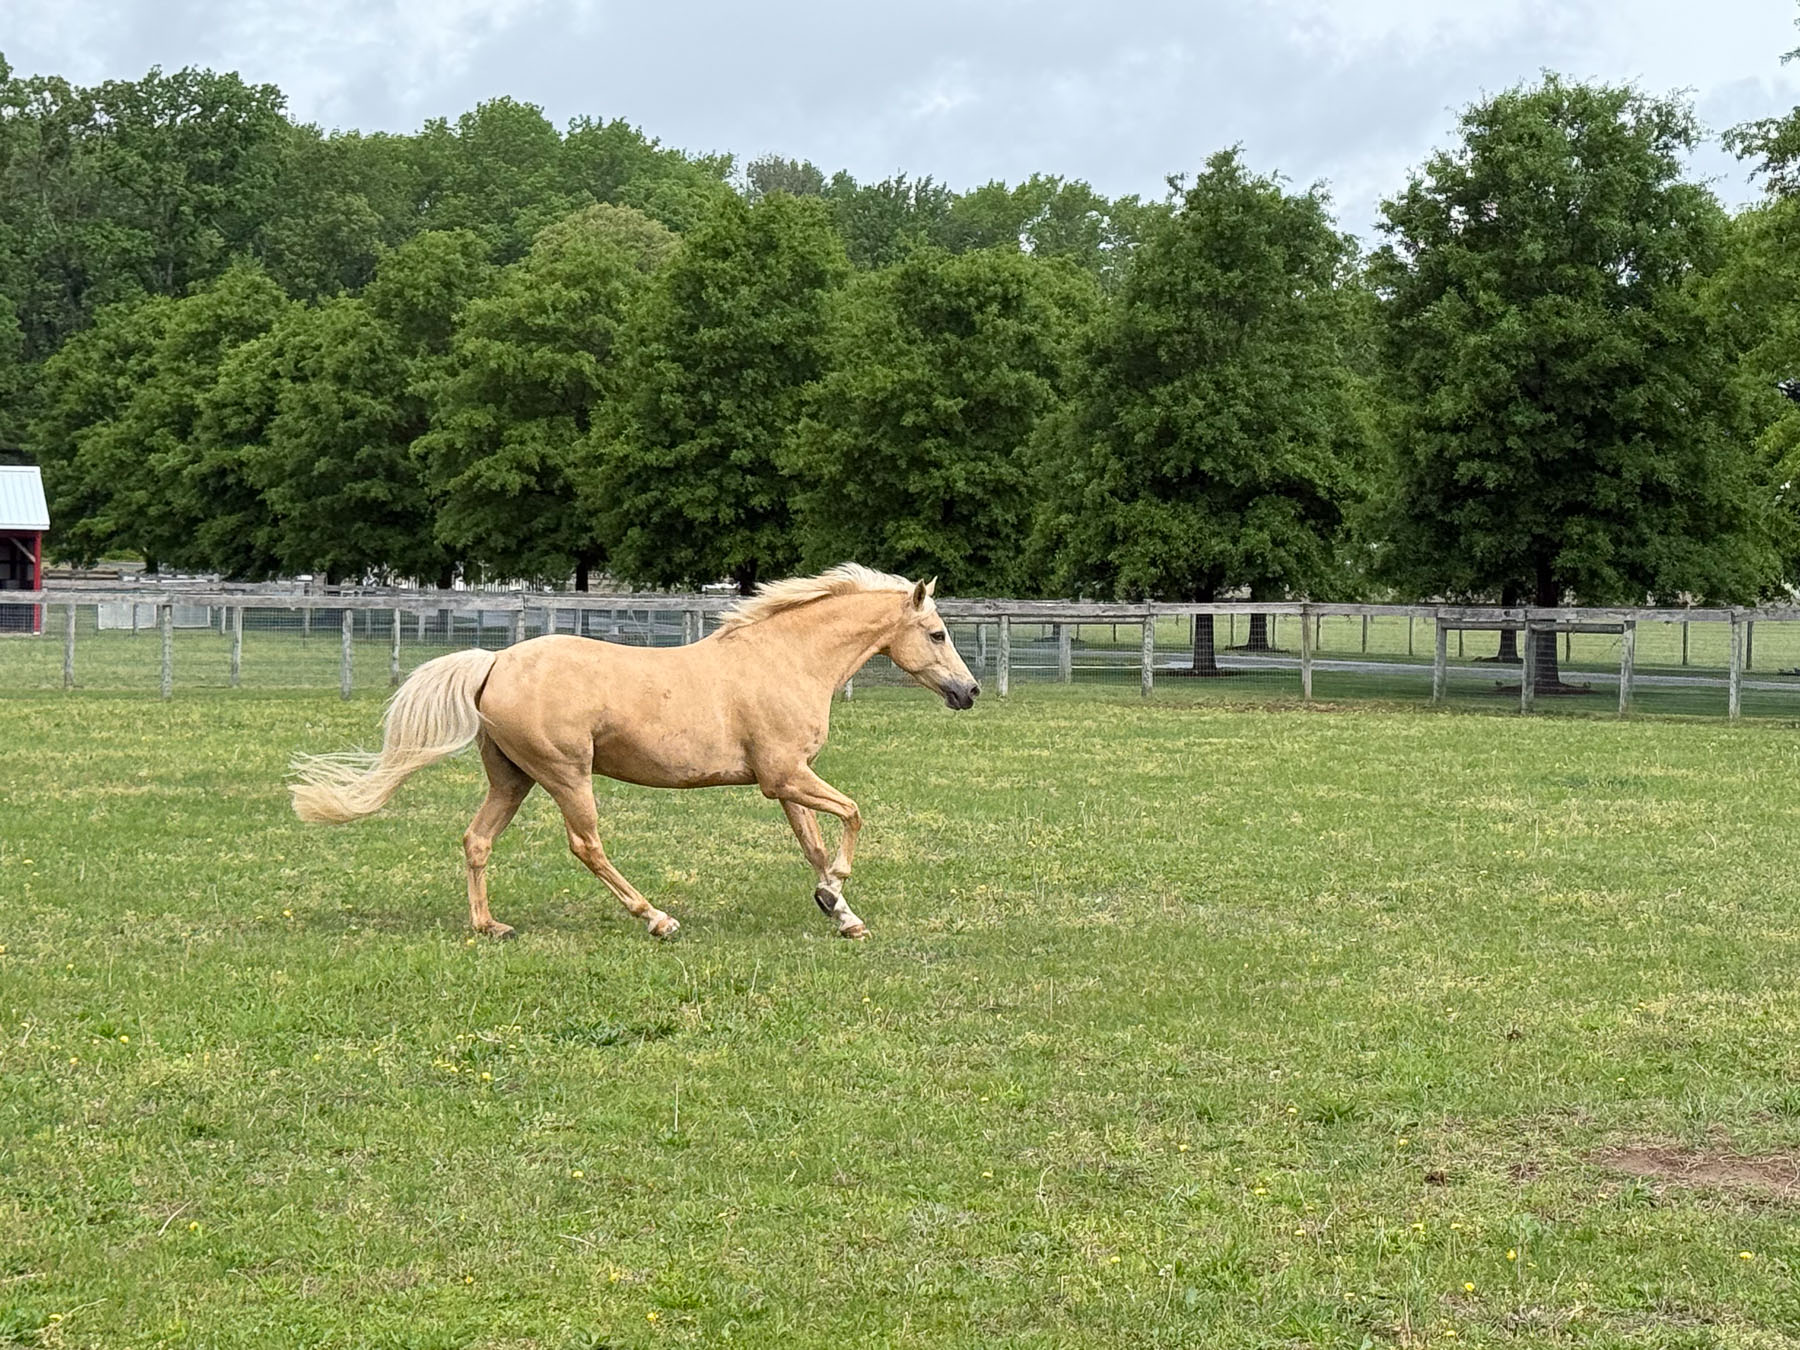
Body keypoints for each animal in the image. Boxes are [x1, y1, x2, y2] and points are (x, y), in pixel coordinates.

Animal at [289, 565, 980, 940]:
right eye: (937, 633)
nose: (969, 691)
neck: (784, 660)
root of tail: (494, 662)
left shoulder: (786, 781)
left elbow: (813, 842)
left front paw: (840, 912)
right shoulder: (784, 775)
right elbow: (854, 815)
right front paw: (837, 892)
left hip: (512, 778)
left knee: (477, 840)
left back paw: (489, 927)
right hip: (566, 775)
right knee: (586, 845)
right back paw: (656, 918)